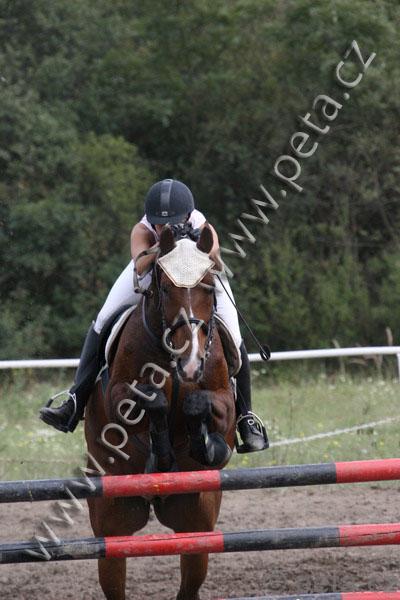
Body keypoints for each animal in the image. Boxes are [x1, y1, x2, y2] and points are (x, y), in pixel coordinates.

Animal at [84, 223, 236, 600]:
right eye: (165, 288)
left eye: (209, 286)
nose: (191, 361)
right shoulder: (118, 396)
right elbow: (153, 401)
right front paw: (161, 454)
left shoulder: (224, 399)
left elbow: (201, 405)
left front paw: (206, 445)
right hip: (114, 517)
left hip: (194, 517)